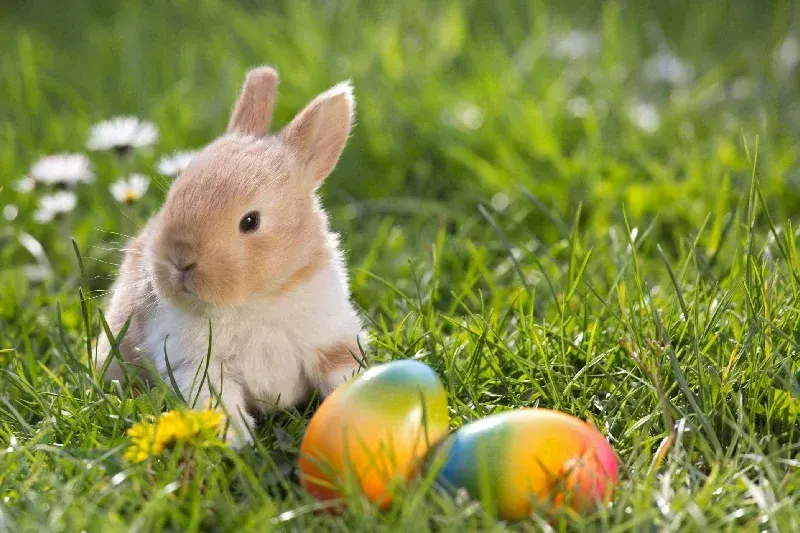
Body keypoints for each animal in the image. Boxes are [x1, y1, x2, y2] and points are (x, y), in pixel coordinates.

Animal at [95, 66, 367, 446]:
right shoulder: (201, 368)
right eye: (173, 195)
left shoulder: (333, 343)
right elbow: (220, 404)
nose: (179, 260)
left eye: (250, 221)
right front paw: (238, 443)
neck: (255, 300)